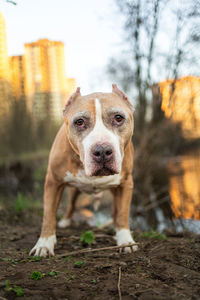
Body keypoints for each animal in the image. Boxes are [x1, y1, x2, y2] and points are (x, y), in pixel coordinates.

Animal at [29, 83, 138, 256]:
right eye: (79, 122)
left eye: (118, 118)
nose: (102, 151)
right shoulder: (53, 182)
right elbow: (48, 214)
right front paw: (44, 244)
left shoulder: (125, 184)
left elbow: (122, 213)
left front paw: (125, 240)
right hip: (73, 191)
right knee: (71, 206)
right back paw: (65, 222)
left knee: (115, 211)